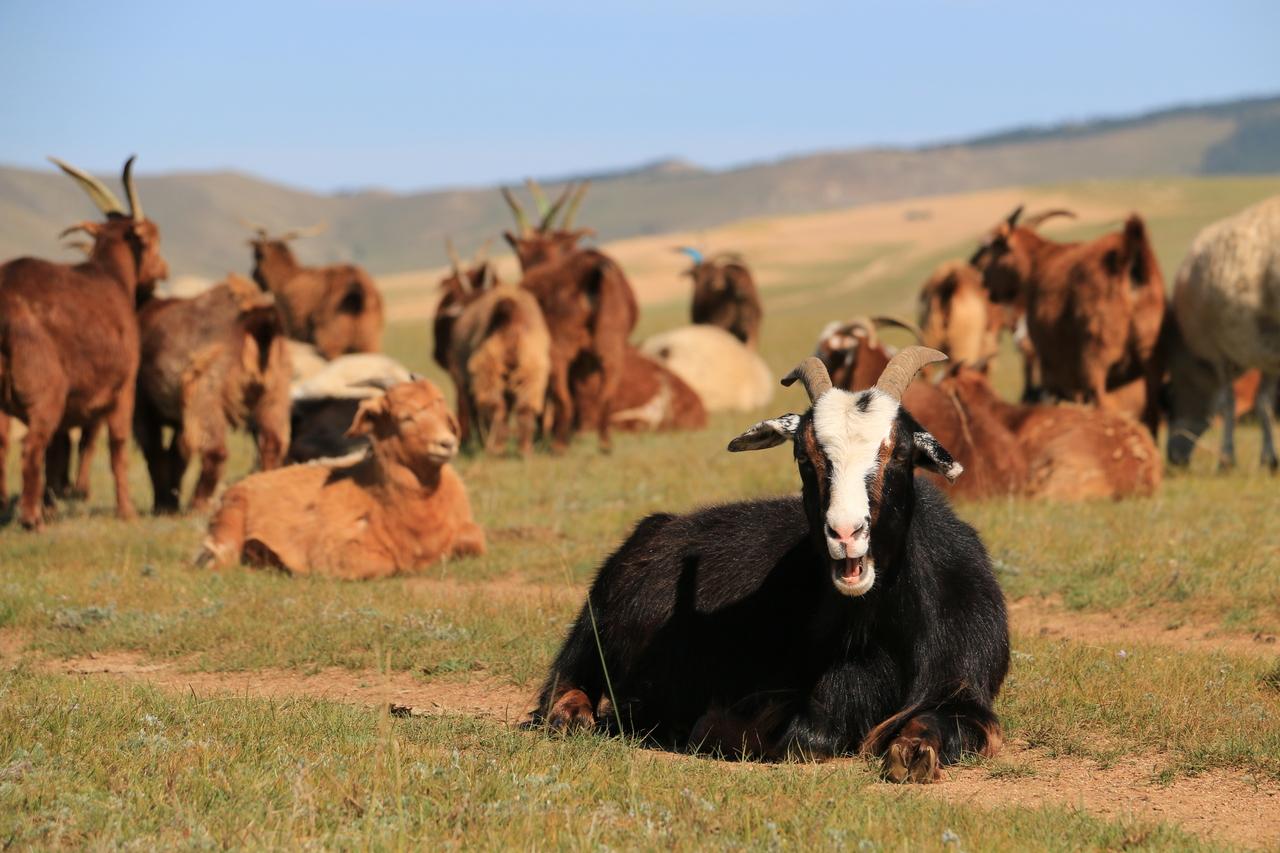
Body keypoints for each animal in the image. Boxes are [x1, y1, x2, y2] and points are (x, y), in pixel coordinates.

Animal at [198, 378, 485, 579]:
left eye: (444, 414)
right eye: (405, 417)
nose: (446, 443)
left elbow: (473, 540)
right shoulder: (335, 551)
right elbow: (383, 564)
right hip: (228, 528)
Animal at [247, 224, 385, 358]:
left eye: (257, 256)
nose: (253, 275)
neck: (288, 277)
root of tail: (358, 292)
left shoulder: (291, 326)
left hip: (331, 339)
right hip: (369, 341)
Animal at [531, 348, 1009, 783]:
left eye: (901, 453)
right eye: (803, 456)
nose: (845, 533)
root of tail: (657, 526)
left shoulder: (965, 685)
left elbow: (945, 720)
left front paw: (913, 751)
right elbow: (805, 735)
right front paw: (705, 727)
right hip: (594, 626)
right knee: (564, 680)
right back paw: (575, 716)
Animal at [971, 206, 1165, 435]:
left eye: (992, 246)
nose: (980, 277)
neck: (1040, 261)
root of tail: (1130, 250)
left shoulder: (1053, 365)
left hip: (1096, 354)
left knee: (1104, 404)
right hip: (1150, 352)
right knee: (1152, 414)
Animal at [1166, 195, 1280, 471]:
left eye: (1169, 398)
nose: (1173, 458)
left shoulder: (1217, 351)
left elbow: (1228, 402)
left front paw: (1227, 459)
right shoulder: (1266, 351)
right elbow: (1264, 402)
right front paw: (1269, 458)